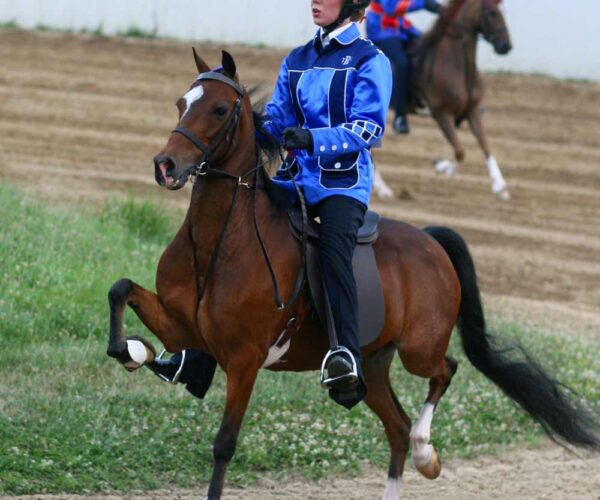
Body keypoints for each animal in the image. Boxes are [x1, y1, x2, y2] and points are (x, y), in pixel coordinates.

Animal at [108, 47, 600, 500]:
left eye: (219, 109)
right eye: (181, 102)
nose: (166, 165)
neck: (220, 243)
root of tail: (430, 240)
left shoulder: (245, 361)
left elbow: (224, 445)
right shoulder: (184, 328)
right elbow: (121, 291)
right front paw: (133, 349)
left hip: (418, 349)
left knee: (445, 371)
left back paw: (426, 452)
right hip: (375, 365)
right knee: (397, 427)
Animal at [372, 0, 512, 203]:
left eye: (503, 12)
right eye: (492, 13)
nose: (506, 45)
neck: (456, 64)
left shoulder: (473, 112)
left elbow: (486, 146)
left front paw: (499, 186)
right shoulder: (442, 114)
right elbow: (460, 151)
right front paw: (442, 167)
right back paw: (382, 188)